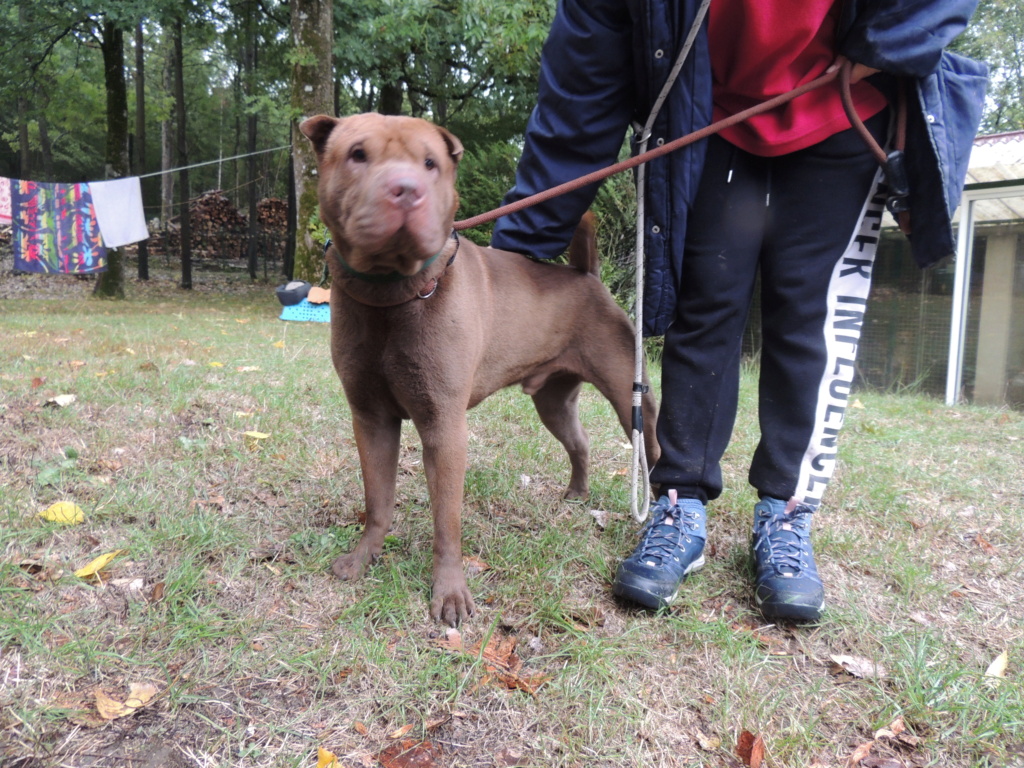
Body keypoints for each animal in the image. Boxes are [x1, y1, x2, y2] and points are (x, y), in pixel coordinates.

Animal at [299, 114, 659, 626]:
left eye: (430, 163)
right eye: (357, 154)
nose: (405, 189)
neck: (393, 292)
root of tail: (587, 275)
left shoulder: (444, 425)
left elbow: (446, 520)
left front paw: (449, 593)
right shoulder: (370, 418)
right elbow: (378, 500)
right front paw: (364, 557)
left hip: (629, 394)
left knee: (651, 445)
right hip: (553, 401)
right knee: (579, 442)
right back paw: (577, 493)